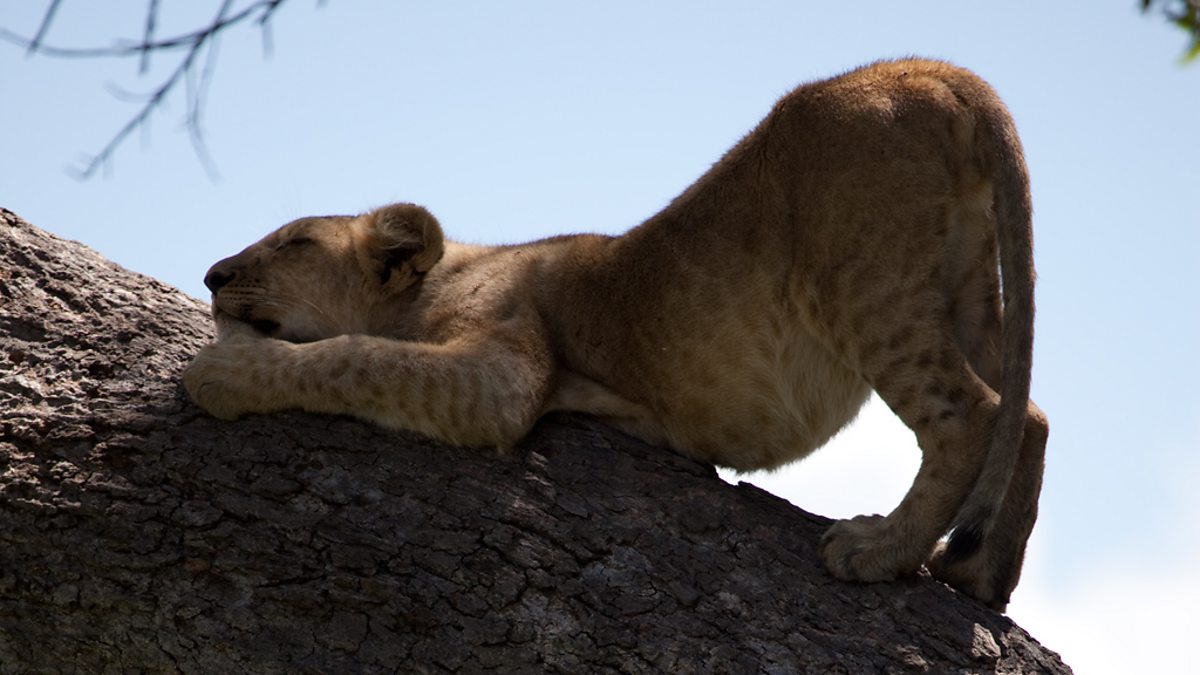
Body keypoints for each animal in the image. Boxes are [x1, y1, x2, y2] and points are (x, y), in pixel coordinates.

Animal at [184, 58, 1048, 611]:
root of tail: (934, 71)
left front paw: (220, 374)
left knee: (968, 413)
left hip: (863, 282)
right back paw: (980, 576)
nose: (213, 275)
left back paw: (880, 549)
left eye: (294, 242)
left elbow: (352, 355)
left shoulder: (504, 366)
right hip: (966, 277)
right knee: (1027, 412)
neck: (449, 274)